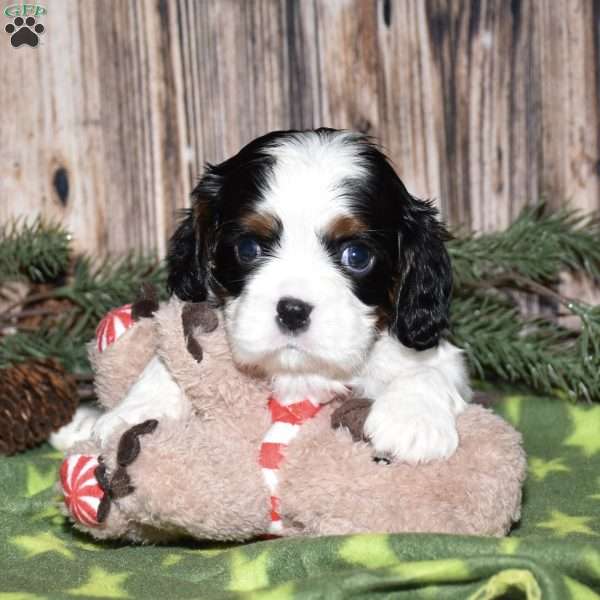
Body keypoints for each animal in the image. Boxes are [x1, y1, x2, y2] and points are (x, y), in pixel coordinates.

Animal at [54, 129, 472, 462]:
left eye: (357, 256)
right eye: (248, 248)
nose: (292, 311)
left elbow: (432, 369)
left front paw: (412, 419)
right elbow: (168, 362)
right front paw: (138, 409)